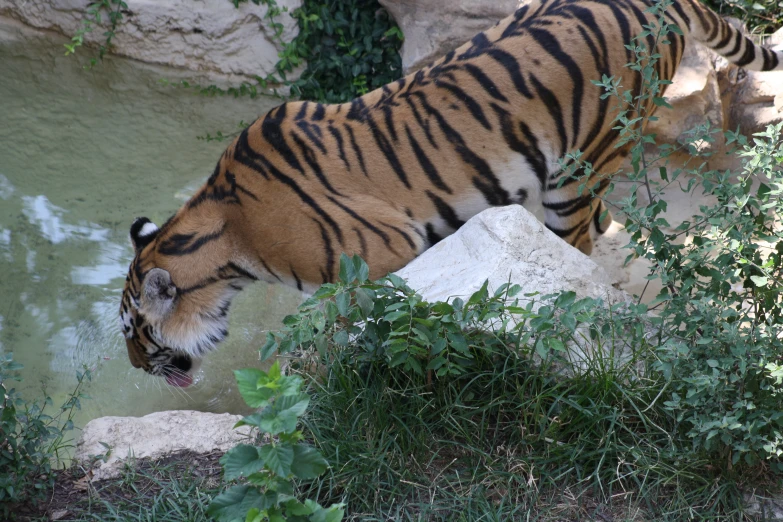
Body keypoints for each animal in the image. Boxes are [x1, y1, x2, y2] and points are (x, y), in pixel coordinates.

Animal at [119, 0, 783, 384]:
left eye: (136, 332)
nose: (134, 368)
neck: (230, 238)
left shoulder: (378, 253)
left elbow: (355, 322)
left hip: (578, 168)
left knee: (577, 253)